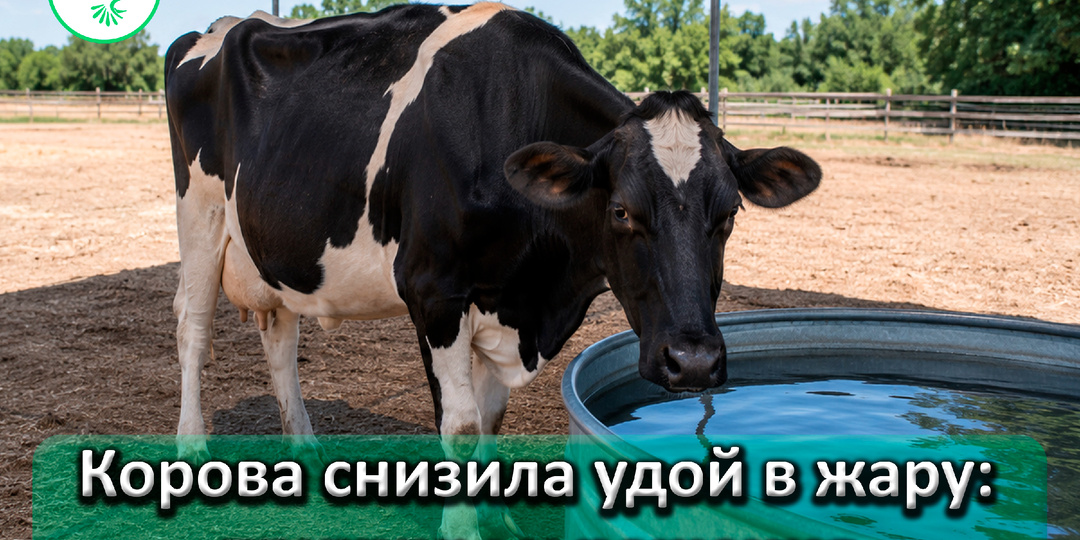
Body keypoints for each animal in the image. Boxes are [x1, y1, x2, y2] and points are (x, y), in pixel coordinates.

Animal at [165, 3, 820, 537]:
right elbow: (458, 427)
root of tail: (224, 26)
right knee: (191, 327)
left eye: (729, 213)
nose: (694, 362)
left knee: (279, 335)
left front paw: (494, 514)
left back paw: (304, 447)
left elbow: (490, 419)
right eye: (621, 210)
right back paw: (192, 448)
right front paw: (462, 529)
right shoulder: (434, 291)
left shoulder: (505, 300)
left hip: (273, 247)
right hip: (200, 215)